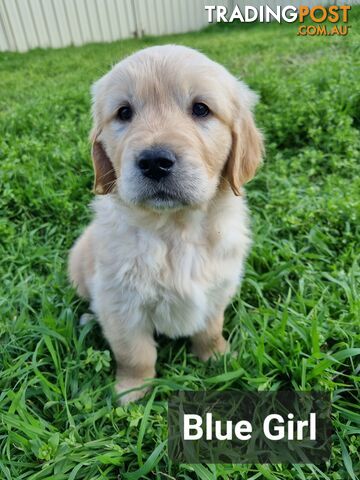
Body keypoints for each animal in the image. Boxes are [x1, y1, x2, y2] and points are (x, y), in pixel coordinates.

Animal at [69, 46, 262, 404]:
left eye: (201, 109)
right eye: (124, 113)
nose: (155, 162)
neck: (176, 230)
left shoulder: (218, 289)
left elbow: (210, 329)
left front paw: (217, 358)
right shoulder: (121, 304)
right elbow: (135, 353)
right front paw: (132, 392)